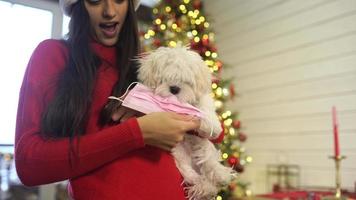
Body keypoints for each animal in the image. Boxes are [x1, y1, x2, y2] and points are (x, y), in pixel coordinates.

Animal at [136, 46, 236, 199]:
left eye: (186, 81)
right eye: (164, 79)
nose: (174, 88)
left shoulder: (203, 102)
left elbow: (204, 109)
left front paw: (209, 124)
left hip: (204, 147)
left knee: (210, 162)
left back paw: (220, 176)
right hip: (179, 152)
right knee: (187, 169)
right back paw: (196, 179)